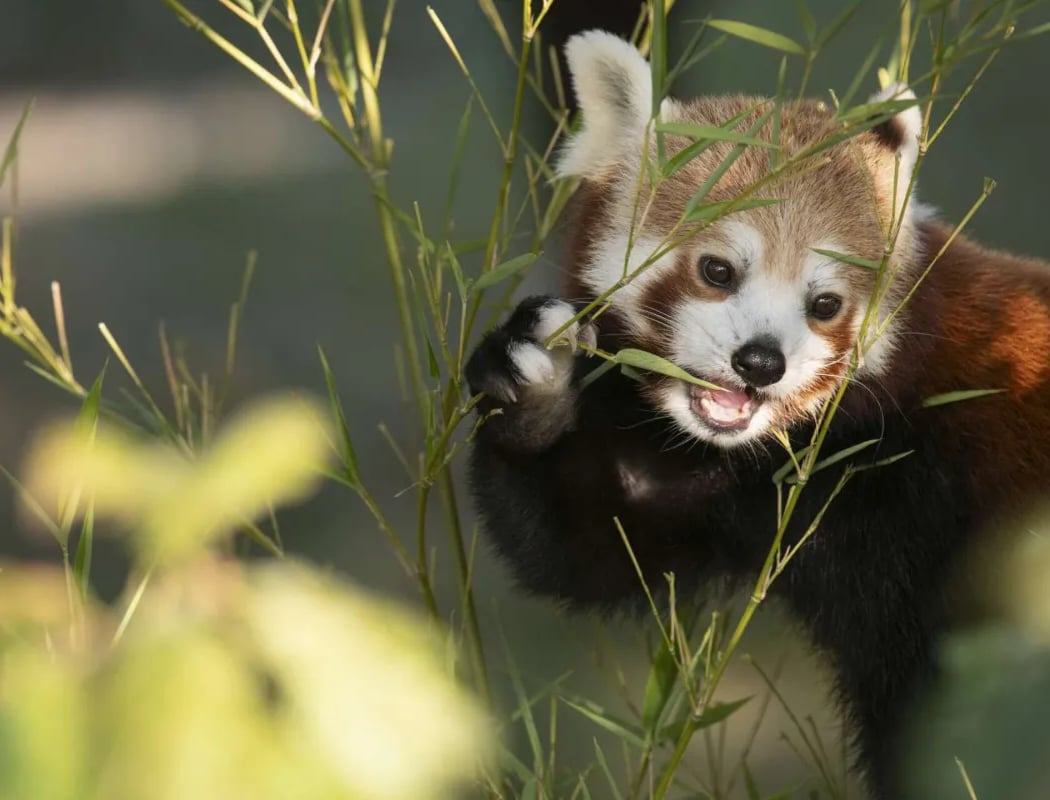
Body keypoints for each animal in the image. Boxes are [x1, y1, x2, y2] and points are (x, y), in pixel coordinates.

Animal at [465, 30, 1050, 798]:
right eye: (718, 270)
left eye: (825, 304)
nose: (761, 362)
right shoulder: (740, 493)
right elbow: (592, 542)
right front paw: (532, 393)